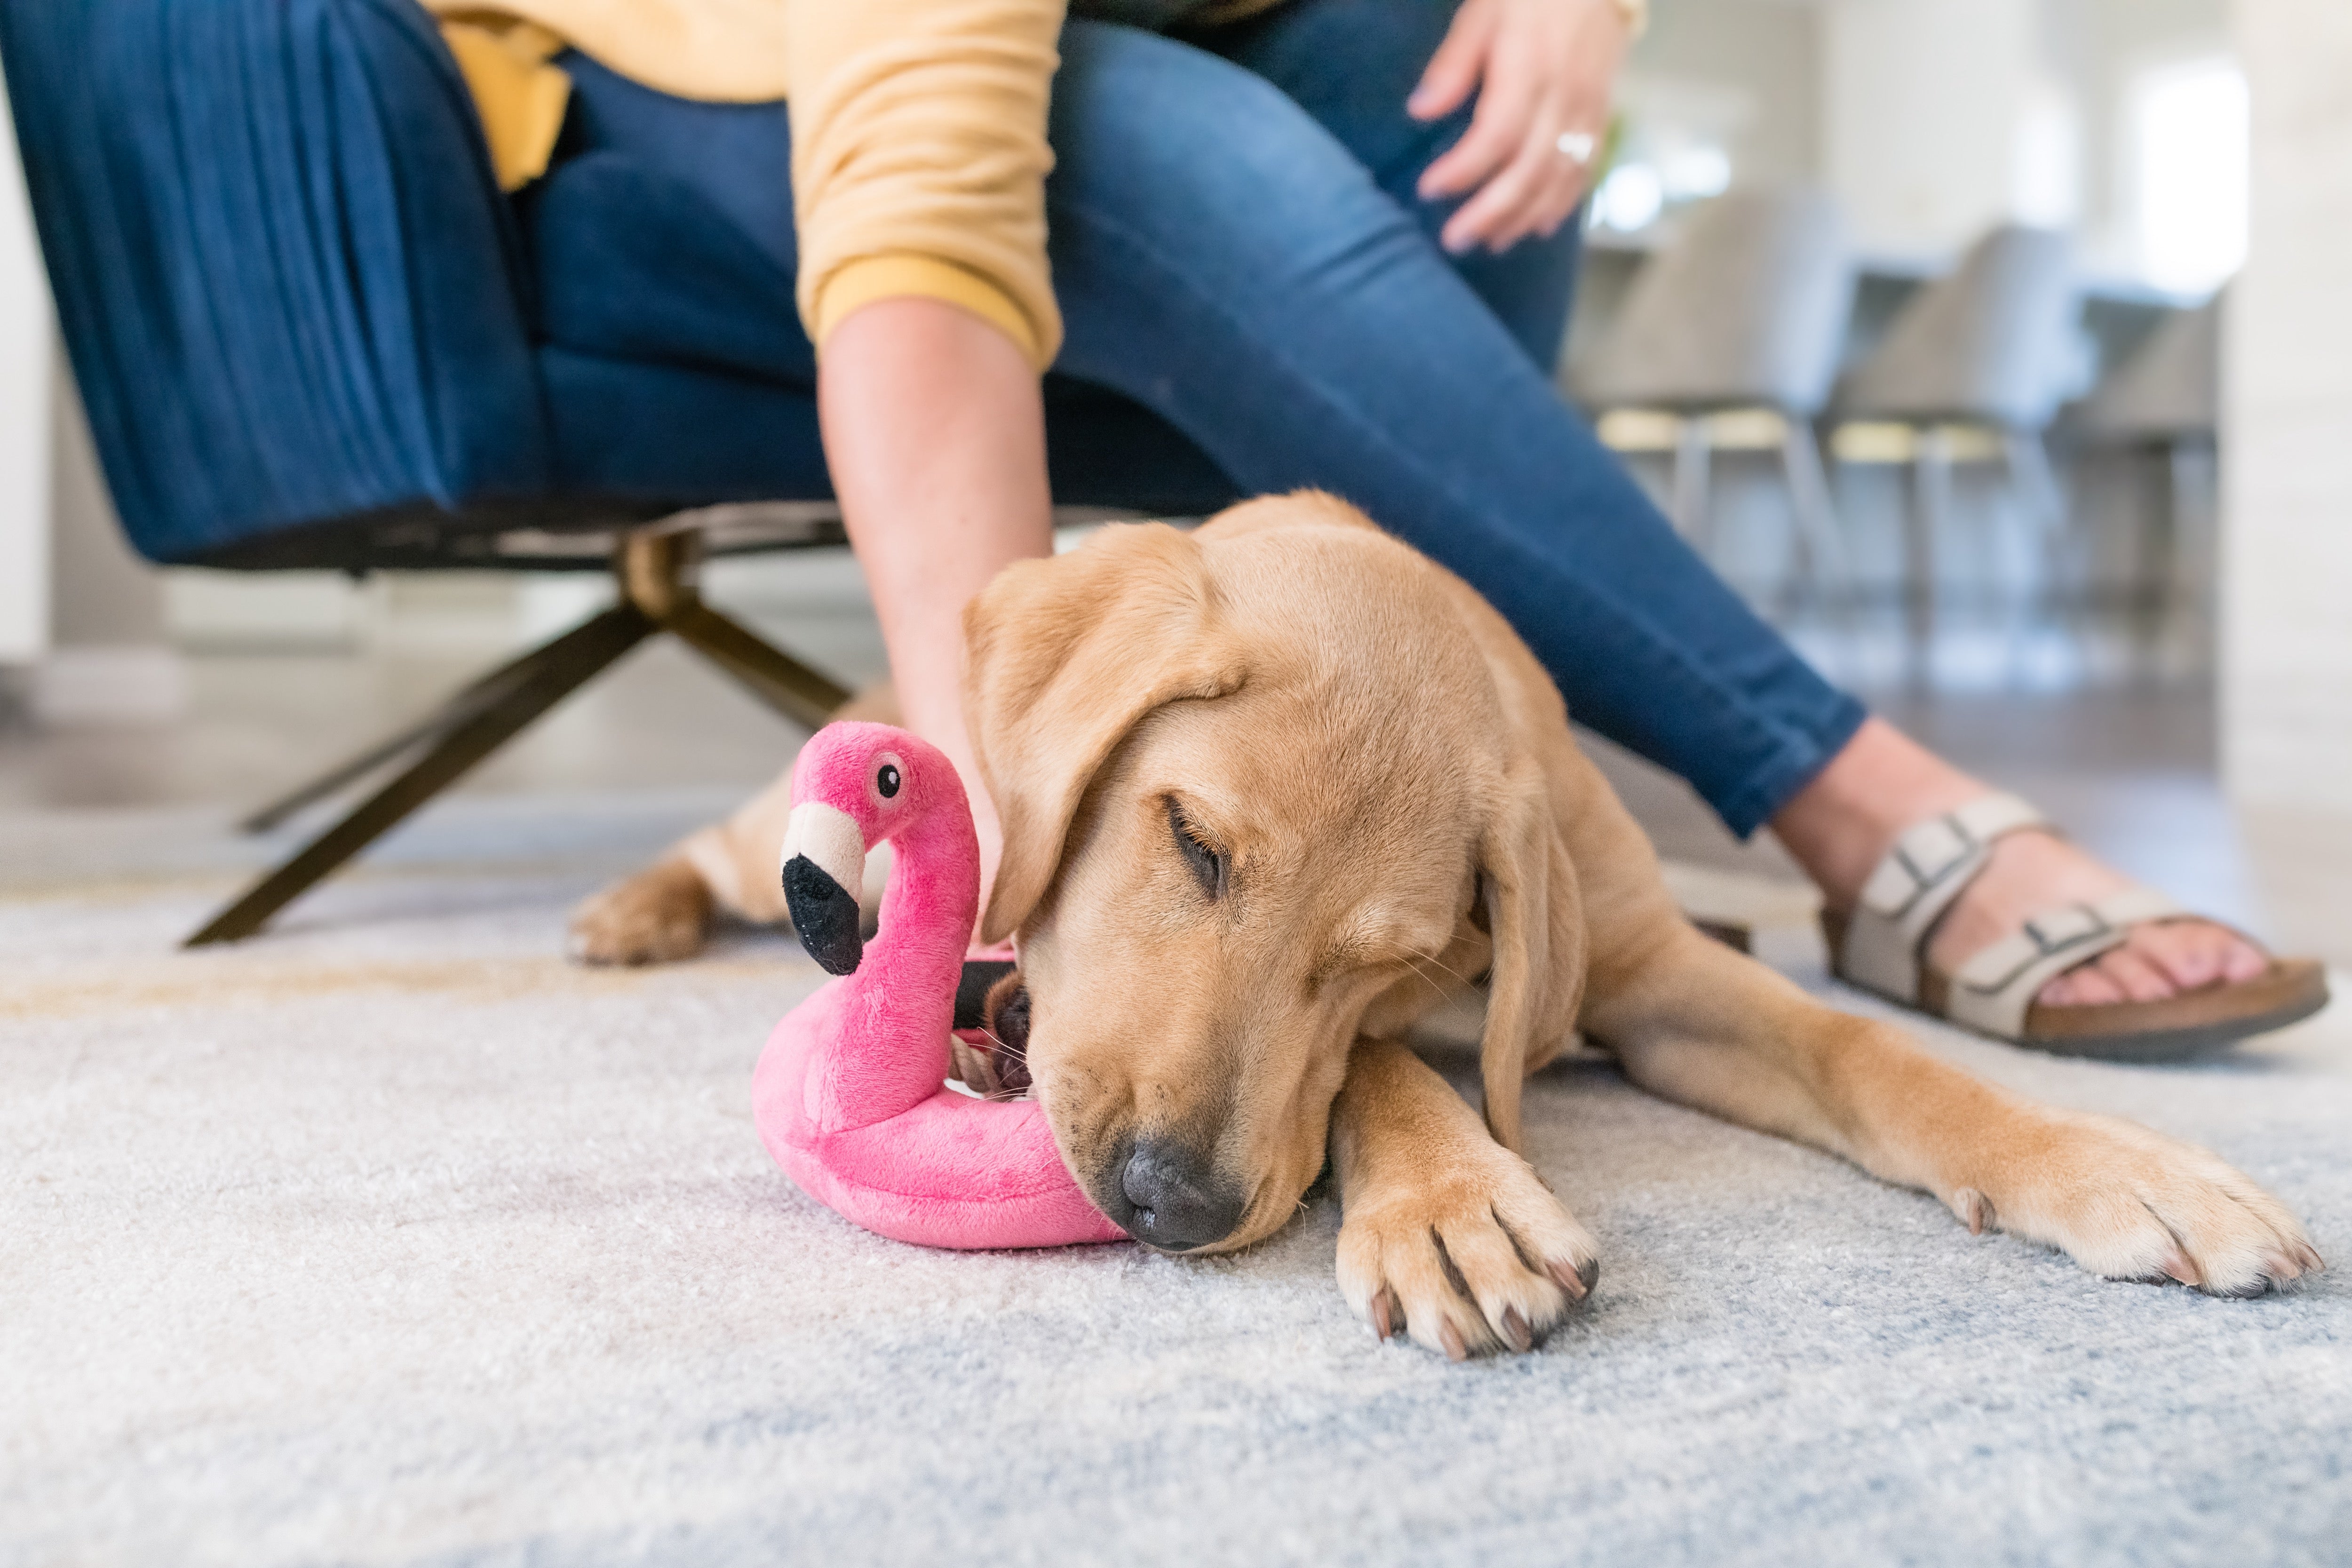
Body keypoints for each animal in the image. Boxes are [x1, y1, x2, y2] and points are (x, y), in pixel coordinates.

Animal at [574, 496, 2314, 1354]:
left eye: (1392, 956)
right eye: (1192, 841)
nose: (1171, 1206)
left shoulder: (1652, 970)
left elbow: (1875, 1054)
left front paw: (2119, 1164)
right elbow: (1382, 1074)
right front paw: (1459, 1206)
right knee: (736, 850)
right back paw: (626, 910)